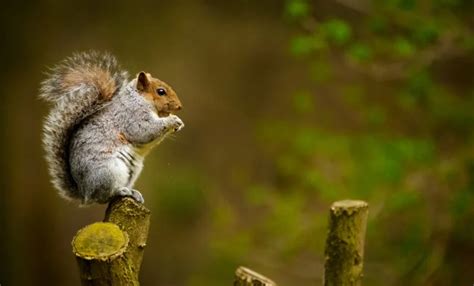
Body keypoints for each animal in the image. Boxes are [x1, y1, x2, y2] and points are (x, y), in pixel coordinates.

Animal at [39, 50, 184, 203]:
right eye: (161, 91)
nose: (179, 106)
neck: (139, 99)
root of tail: (85, 193)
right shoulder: (132, 117)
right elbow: (145, 131)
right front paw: (172, 120)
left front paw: (178, 123)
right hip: (109, 171)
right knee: (104, 196)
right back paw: (122, 191)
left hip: (132, 172)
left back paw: (134, 193)